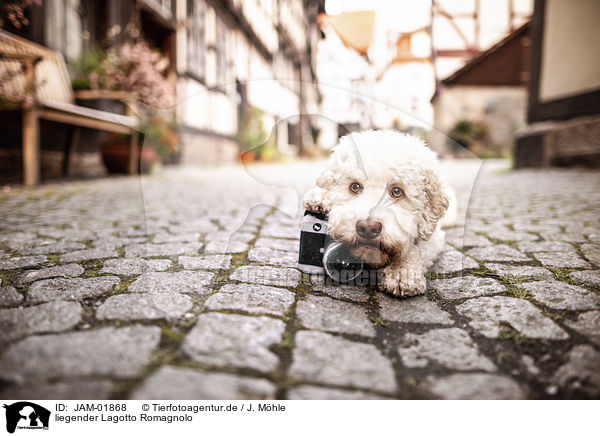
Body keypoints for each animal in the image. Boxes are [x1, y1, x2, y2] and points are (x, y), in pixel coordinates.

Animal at [304, 130, 454, 296]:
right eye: (355, 187)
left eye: (397, 191)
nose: (368, 228)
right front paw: (321, 197)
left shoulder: (435, 237)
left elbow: (417, 249)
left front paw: (401, 271)